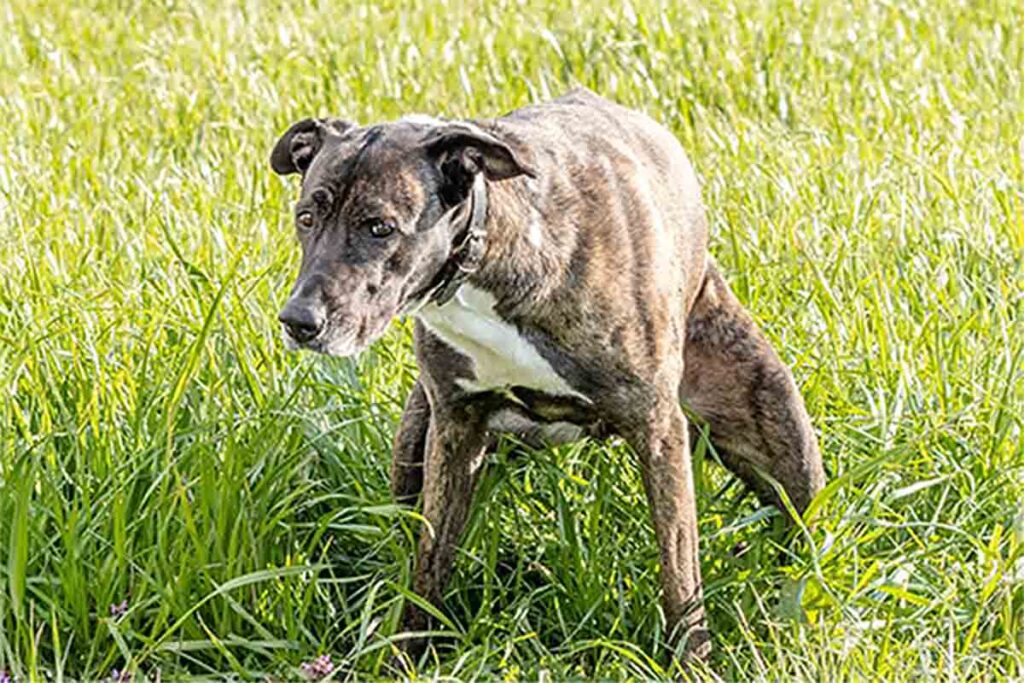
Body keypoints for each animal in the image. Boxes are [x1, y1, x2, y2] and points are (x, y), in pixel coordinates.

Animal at [270, 88, 823, 663]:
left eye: (380, 227)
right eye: (306, 217)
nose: (299, 321)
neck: (487, 254)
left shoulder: (657, 431)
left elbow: (679, 572)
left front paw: (693, 661)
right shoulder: (455, 429)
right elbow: (429, 560)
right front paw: (411, 653)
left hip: (784, 442)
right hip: (415, 438)